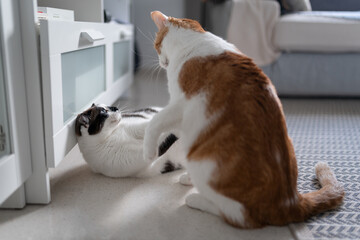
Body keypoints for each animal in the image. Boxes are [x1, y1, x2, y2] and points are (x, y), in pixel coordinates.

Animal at [144, 11, 346, 228]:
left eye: (156, 45)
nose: (160, 62)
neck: (194, 41)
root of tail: (290, 201)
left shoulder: (180, 105)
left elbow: (155, 122)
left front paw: (149, 152)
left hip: (205, 166)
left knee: (238, 215)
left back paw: (197, 200)